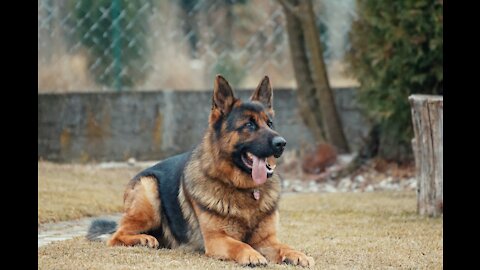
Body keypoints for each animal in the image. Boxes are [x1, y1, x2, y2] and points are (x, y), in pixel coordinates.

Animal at [87, 75, 316, 266]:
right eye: (249, 125)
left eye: (270, 123)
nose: (282, 143)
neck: (244, 189)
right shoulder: (217, 239)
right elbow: (240, 244)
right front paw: (252, 254)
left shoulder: (267, 239)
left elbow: (284, 246)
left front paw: (298, 254)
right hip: (148, 189)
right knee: (116, 235)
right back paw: (143, 238)